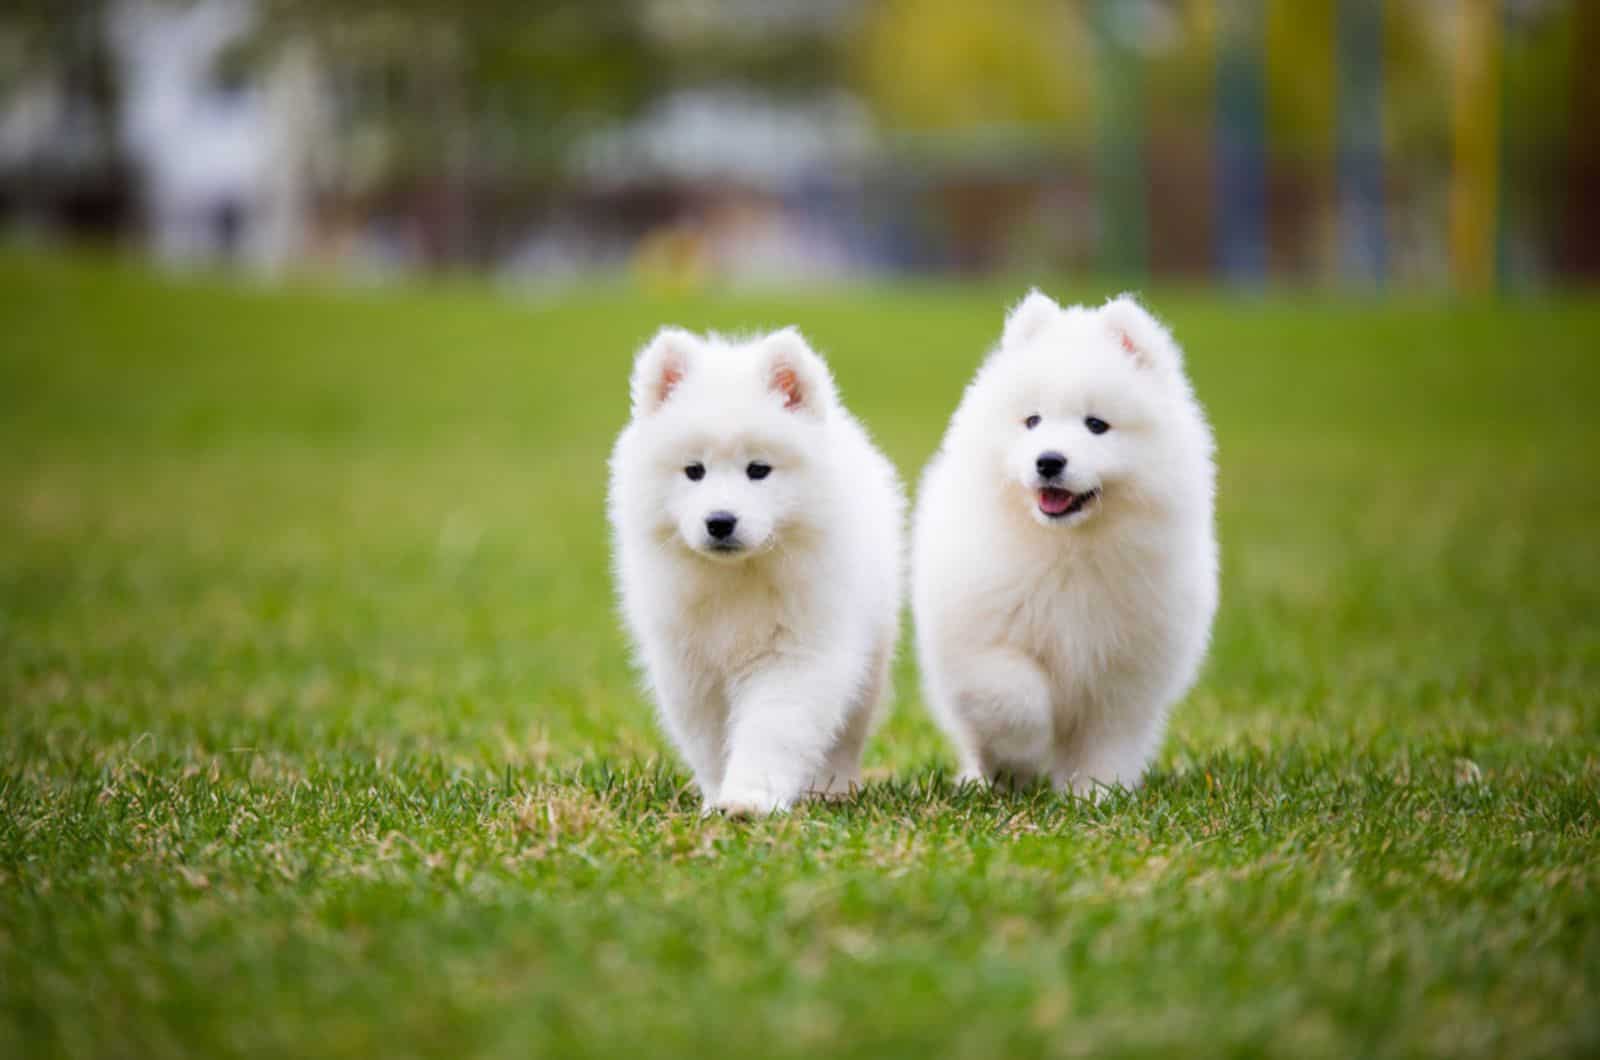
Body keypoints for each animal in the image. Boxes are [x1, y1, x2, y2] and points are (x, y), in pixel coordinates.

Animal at [608, 328, 908, 816]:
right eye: (694, 471)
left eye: (759, 470)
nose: (720, 521)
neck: (738, 575)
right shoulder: (690, 666)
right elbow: (709, 741)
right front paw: (717, 800)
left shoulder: (797, 653)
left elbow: (773, 730)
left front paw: (750, 799)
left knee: (848, 730)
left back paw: (832, 787)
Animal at [908, 291, 1216, 797]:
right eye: (1032, 421)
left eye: (1096, 425)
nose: (1049, 461)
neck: (1069, 551)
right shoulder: (981, 640)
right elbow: (1015, 696)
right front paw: (1024, 754)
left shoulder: (1124, 671)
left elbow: (1106, 742)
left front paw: (1094, 795)